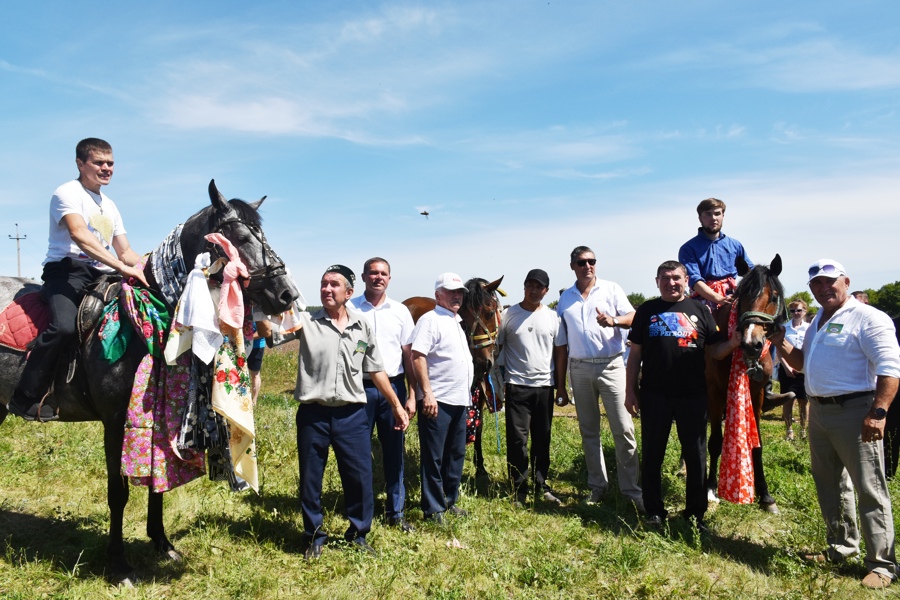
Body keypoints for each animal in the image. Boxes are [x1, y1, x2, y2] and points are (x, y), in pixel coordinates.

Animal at [0, 180, 302, 584]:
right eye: (239, 237)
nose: (288, 294)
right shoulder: (116, 422)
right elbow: (118, 492)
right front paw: (119, 564)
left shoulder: (160, 417)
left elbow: (158, 483)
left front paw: (162, 543)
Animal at [708, 253, 784, 510]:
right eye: (742, 296)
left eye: (773, 296)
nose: (752, 343)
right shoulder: (715, 393)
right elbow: (715, 441)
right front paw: (710, 488)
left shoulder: (757, 394)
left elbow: (756, 445)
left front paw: (765, 494)